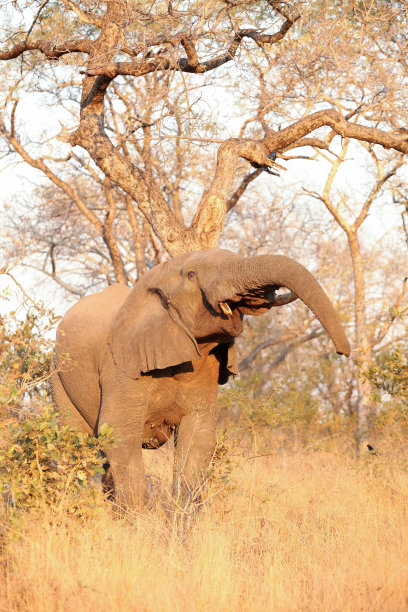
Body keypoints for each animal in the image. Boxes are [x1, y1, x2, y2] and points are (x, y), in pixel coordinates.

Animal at [51, 246, 350, 510]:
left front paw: (180, 523)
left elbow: (197, 436)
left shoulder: (207, 368)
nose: (343, 353)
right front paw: (138, 523)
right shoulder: (122, 364)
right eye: (192, 274)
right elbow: (118, 430)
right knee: (75, 440)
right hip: (59, 377)